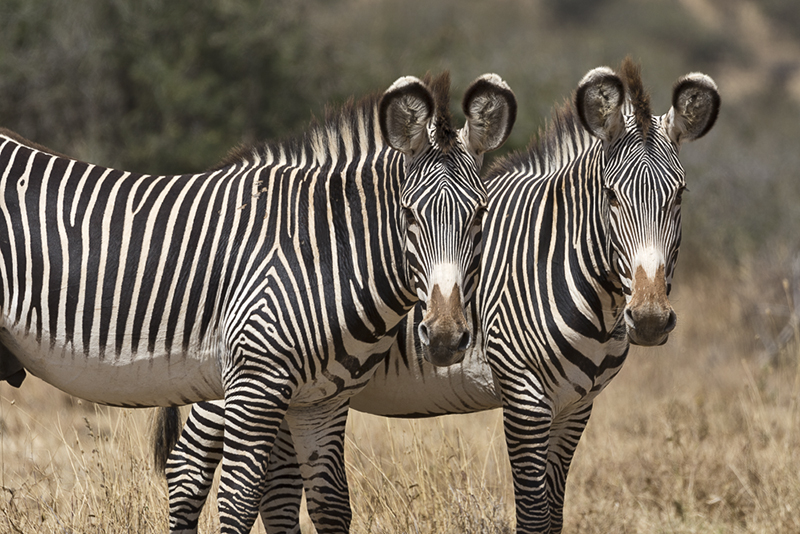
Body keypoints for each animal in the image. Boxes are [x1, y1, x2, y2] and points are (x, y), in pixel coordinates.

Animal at [0, 72, 520, 534]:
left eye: (481, 214)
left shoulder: (322, 401)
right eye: (409, 215)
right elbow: (238, 501)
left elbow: (331, 505)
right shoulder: (255, 383)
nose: (446, 337)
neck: (322, 251)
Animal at [155, 57, 720, 532]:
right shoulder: (524, 395)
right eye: (611, 196)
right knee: (189, 466)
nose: (649, 319)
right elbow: (534, 515)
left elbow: (555, 515)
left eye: (680, 195)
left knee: (276, 486)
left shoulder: (577, 406)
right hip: (231, 374)